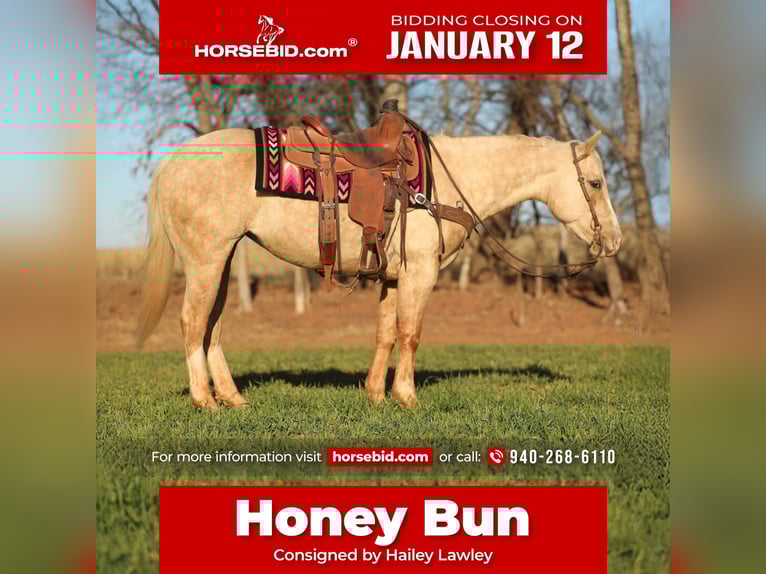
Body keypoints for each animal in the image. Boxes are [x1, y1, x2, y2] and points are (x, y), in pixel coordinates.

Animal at [136, 128, 622, 409]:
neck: (443, 181)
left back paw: (233, 398)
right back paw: (204, 400)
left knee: (212, 327)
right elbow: (410, 333)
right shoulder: (420, 273)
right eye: (596, 182)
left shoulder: (392, 277)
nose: (615, 241)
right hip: (206, 260)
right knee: (191, 322)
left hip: (221, 260)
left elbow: (386, 333)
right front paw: (406, 396)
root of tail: (173, 161)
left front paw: (375, 394)